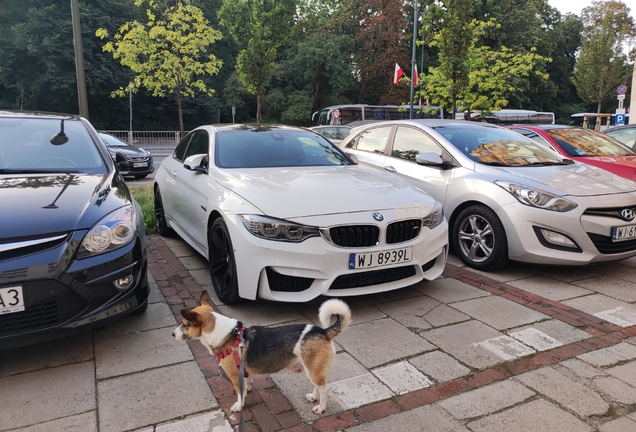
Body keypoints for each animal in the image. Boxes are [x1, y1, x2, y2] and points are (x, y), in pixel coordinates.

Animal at [173, 290, 352, 416]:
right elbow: (247, 384)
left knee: (325, 390)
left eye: (185, 324)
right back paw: (314, 398)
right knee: (319, 387)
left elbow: (239, 394)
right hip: (313, 369)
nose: (173, 334)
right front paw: (248, 389)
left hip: (313, 370)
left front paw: (239, 405)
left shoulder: (234, 376)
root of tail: (323, 331)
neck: (227, 335)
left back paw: (321, 408)